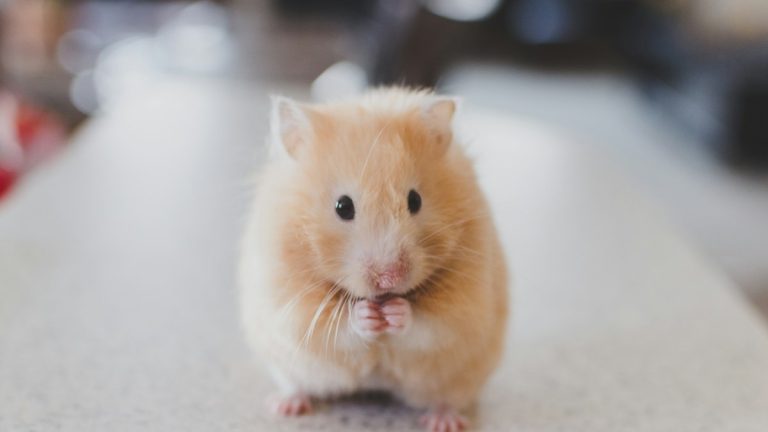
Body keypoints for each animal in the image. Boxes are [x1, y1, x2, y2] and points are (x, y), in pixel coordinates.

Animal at [239, 87, 509, 432]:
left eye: (415, 200)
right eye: (343, 206)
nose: (389, 279)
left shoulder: (465, 305)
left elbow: (430, 324)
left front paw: (395, 312)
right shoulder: (290, 303)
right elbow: (336, 327)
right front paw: (367, 315)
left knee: (447, 398)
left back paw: (443, 422)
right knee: (296, 384)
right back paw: (285, 406)